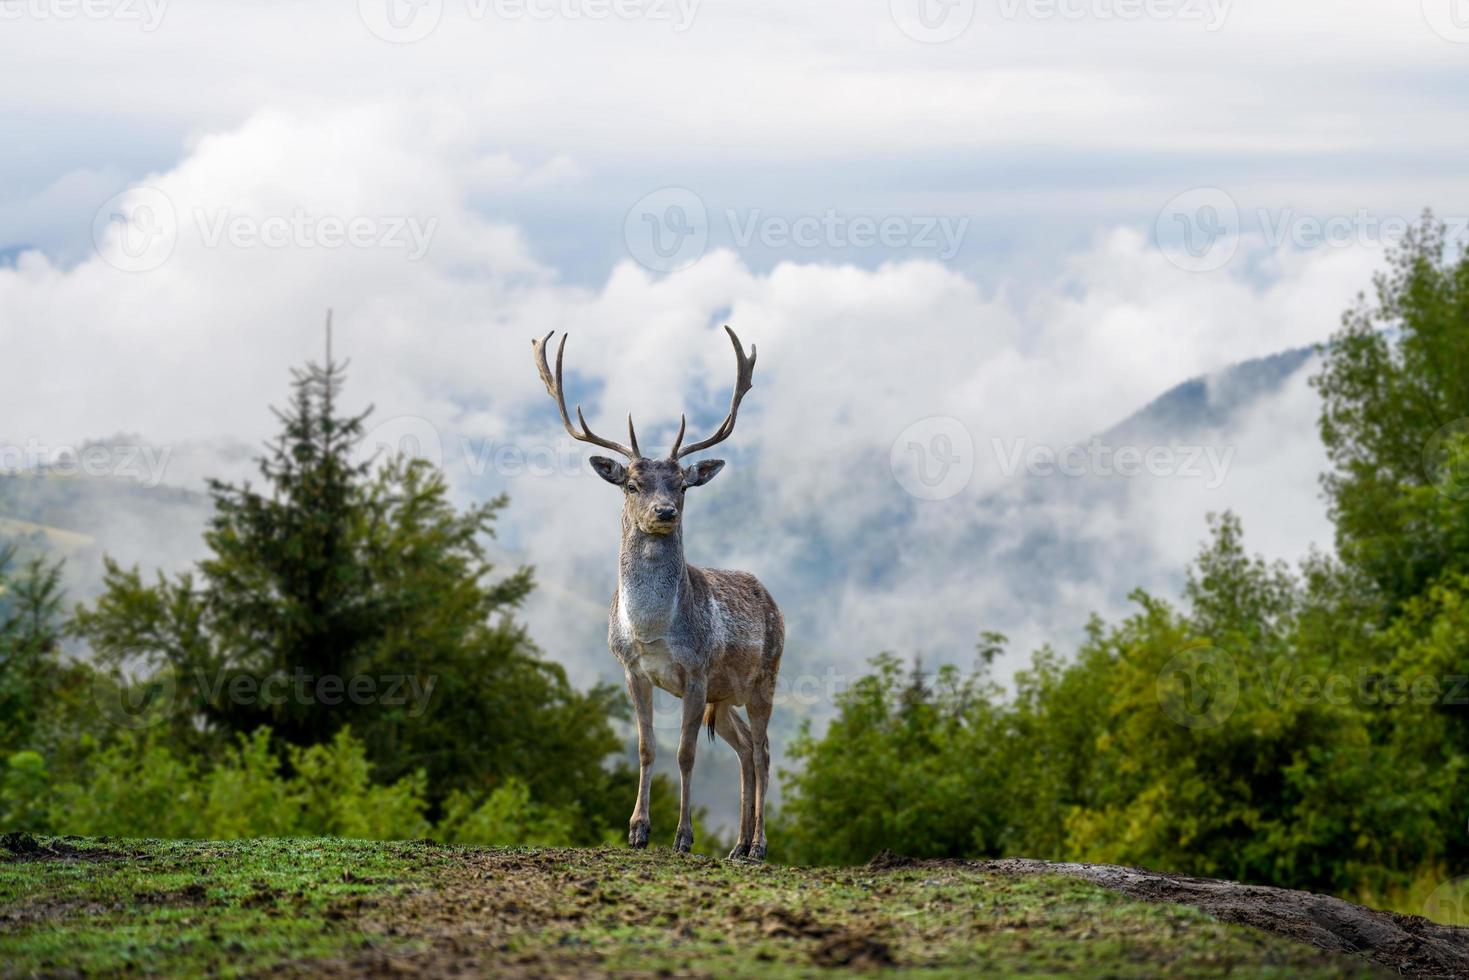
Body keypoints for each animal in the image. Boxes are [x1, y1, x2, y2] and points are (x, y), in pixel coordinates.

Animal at [528, 327, 781, 858]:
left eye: (683, 485)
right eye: (631, 484)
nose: (665, 511)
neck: (650, 630)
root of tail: (771, 599)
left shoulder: (698, 671)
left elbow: (685, 754)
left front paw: (683, 837)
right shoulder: (632, 669)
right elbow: (646, 748)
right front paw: (637, 830)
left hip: (764, 676)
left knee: (765, 750)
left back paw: (758, 846)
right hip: (727, 696)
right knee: (746, 748)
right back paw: (737, 846)